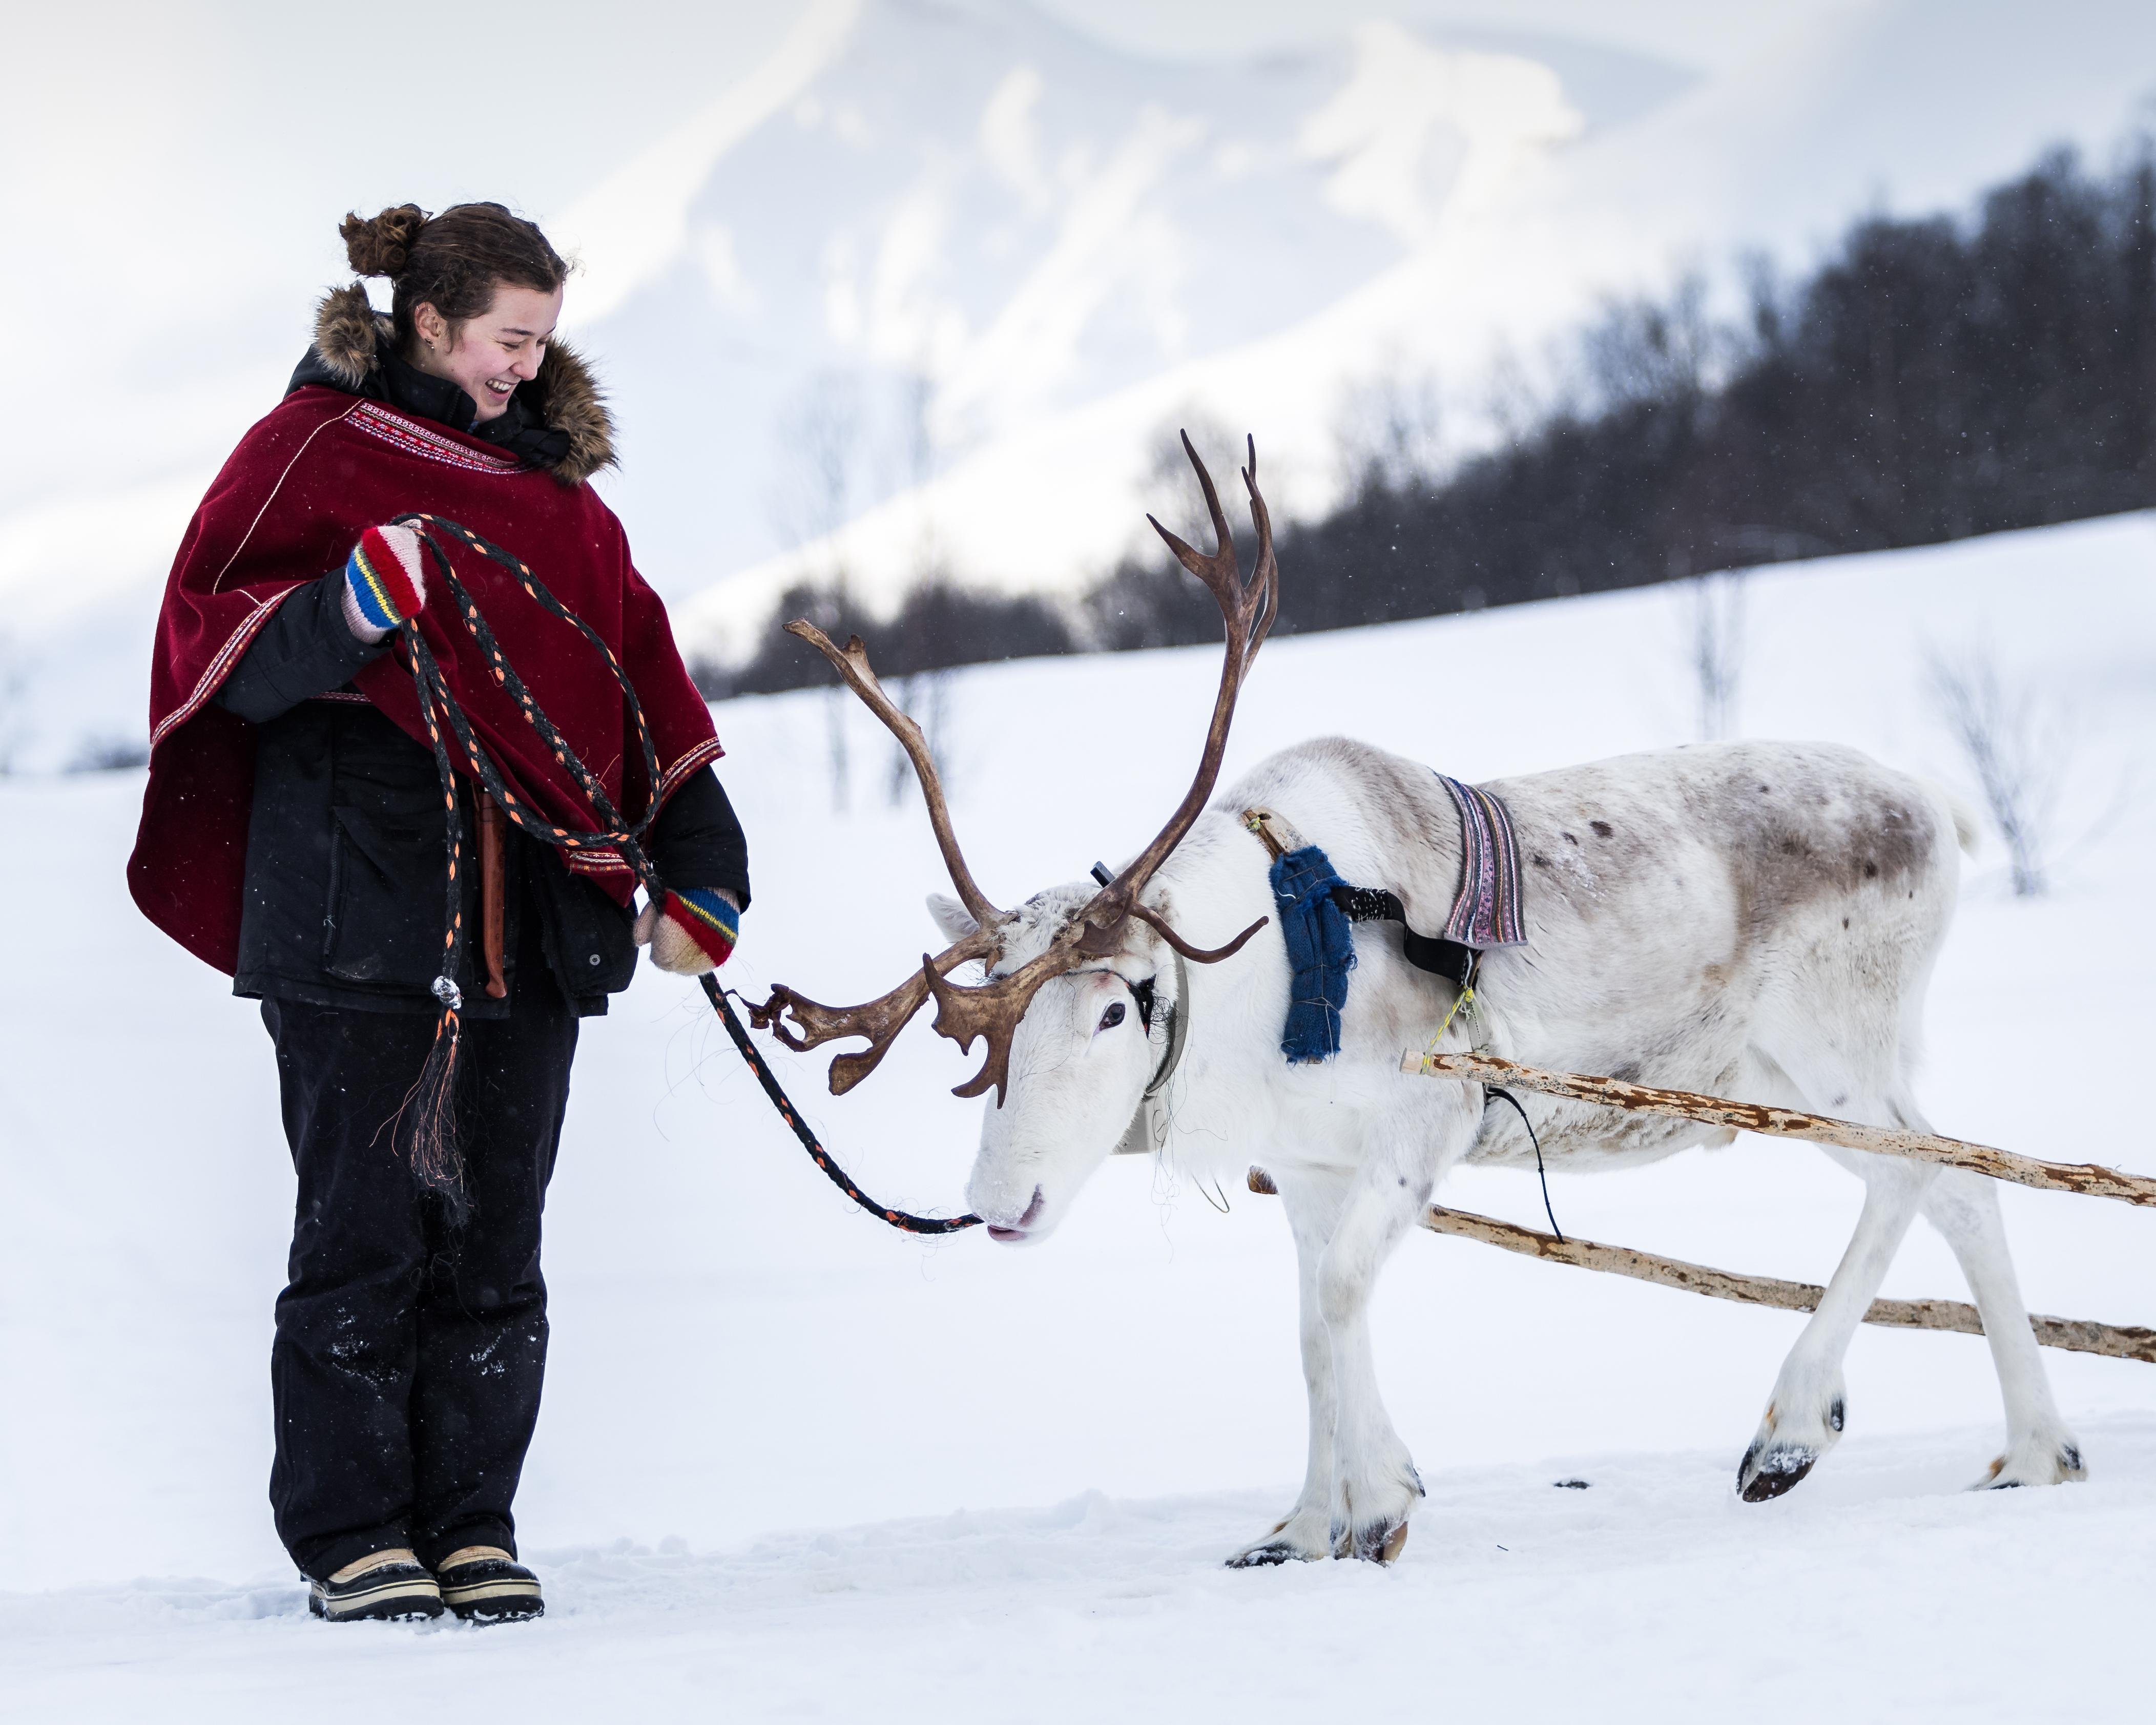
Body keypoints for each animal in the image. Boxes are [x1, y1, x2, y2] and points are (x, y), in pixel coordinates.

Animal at [752, 436, 2087, 1567]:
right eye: (982, 1031)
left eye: (1116, 1009)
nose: (998, 1204)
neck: (1264, 990)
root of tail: (1935, 807)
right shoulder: (1309, 1169)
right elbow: (1307, 1331)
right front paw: (1302, 1525)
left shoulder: (1419, 1126)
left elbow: (1338, 1305)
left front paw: (1380, 1503)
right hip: (1764, 1077)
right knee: (1950, 1184)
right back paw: (2018, 1446)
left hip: (1832, 1044)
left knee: (1932, 1172)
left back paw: (1820, 1432)